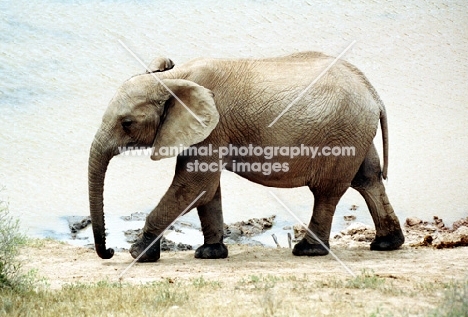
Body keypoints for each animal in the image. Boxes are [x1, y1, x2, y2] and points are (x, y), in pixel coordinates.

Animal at [89, 51, 404, 260]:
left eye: (127, 123)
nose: (109, 251)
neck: (170, 79)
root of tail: (373, 93)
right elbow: (206, 189)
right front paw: (210, 253)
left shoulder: (213, 128)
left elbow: (194, 185)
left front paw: (137, 254)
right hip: (357, 131)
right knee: (368, 179)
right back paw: (387, 244)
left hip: (343, 132)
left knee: (327, 192)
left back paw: (308, 250)